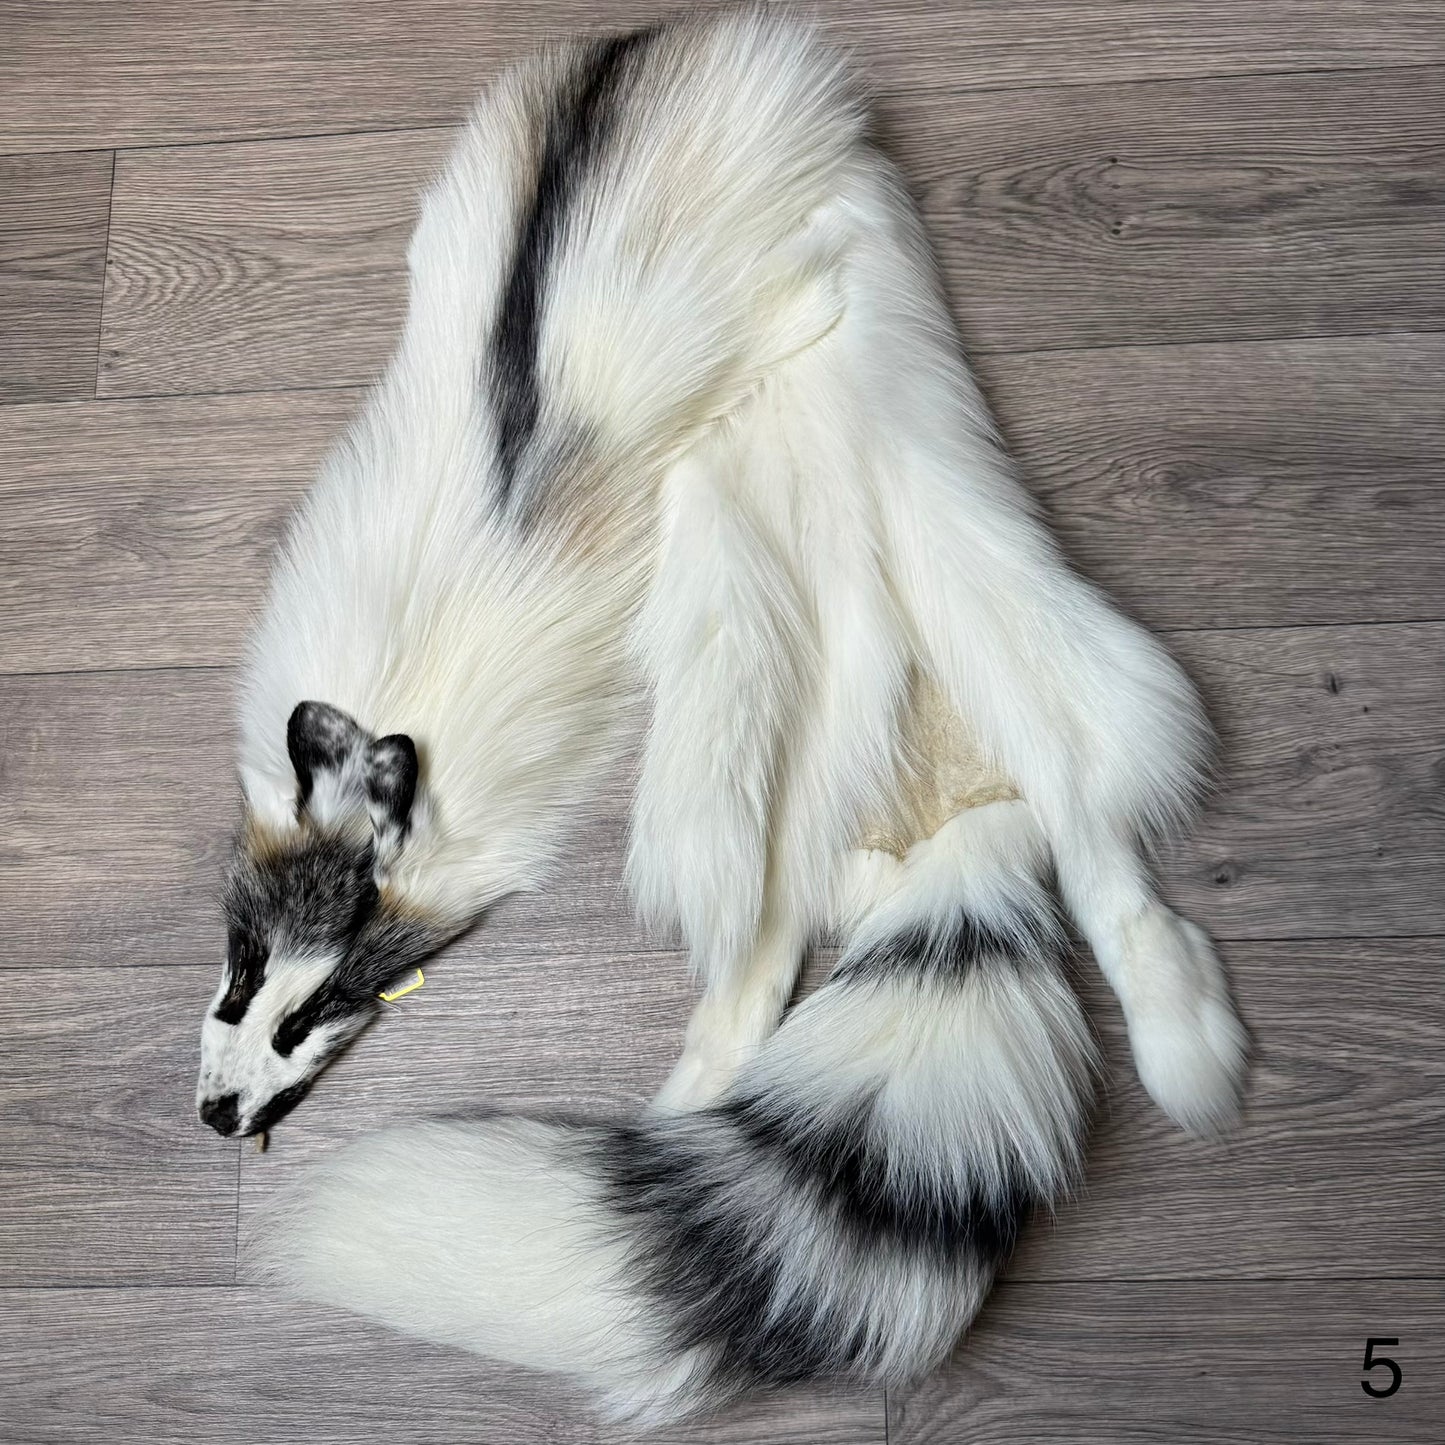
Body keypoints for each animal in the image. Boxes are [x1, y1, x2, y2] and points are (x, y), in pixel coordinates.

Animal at [197, 8, 1247, 1423]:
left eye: (320, 1013)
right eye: (241, 971)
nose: (216, 1115)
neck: (402, 692)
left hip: (934, 541)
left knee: (1084, 817)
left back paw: (1180, 1026)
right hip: (758, 691)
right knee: (771, 923)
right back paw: (690, 1093)